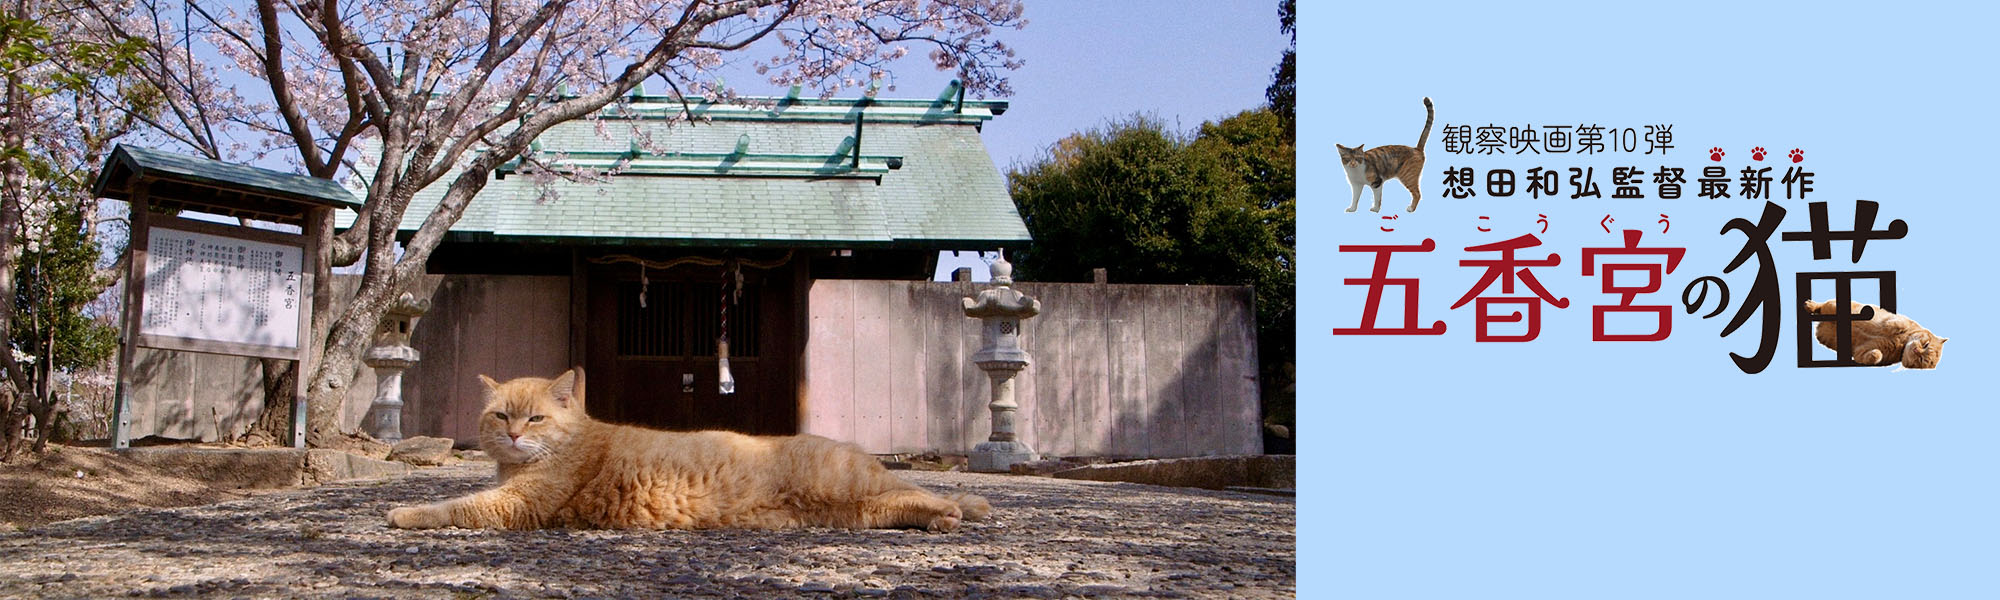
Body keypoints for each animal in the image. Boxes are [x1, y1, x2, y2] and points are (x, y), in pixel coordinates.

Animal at [386, 368, 988, 532]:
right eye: (500, 415)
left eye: (534, 417)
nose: (513, 435)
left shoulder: (516, 505)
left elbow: (455, 507)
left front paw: (403, 512)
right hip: (856, 511)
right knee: (905, 497)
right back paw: (956, 513)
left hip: (849, 485)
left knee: (919, 487)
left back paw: (959, 509)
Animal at [1808, 298, 1944, 368]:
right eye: (1926, 344)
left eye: (1921, 360)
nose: (1916, 350)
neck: (1902, 344)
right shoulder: (1902, 319)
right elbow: (1900, 323)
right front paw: (1891, 327)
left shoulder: (1860, 352)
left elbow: (1876, 356)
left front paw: (1874, 354)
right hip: (1834, 305)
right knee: (1822, 305)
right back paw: (1809, 305)